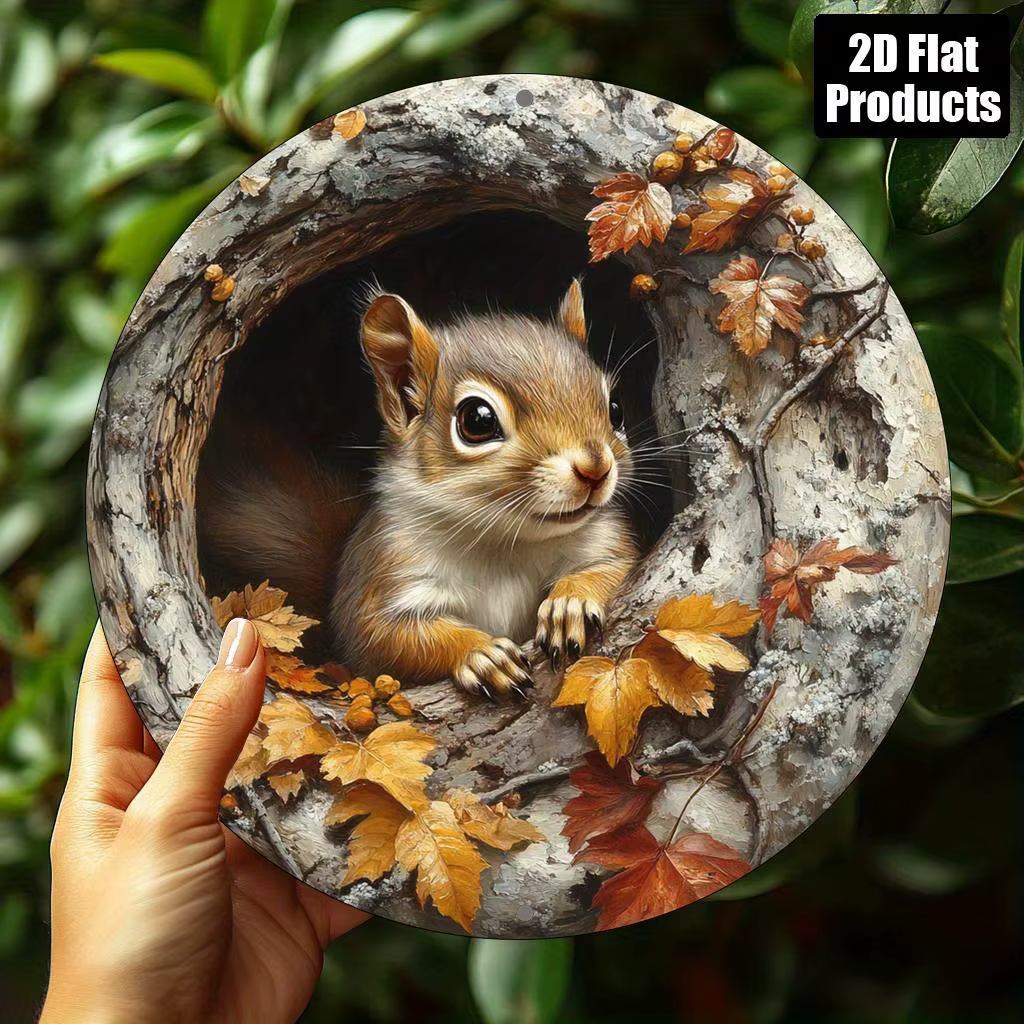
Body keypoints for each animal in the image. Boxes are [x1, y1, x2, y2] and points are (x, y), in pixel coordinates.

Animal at [199, 280, 638, 700]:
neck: (504, 541)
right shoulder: (389, 571)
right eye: (477, 420)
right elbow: (387, 637)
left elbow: (616, 567)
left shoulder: (602, 541)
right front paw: (480, 654)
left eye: (616, 409)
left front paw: (572, 602)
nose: (595, 468)